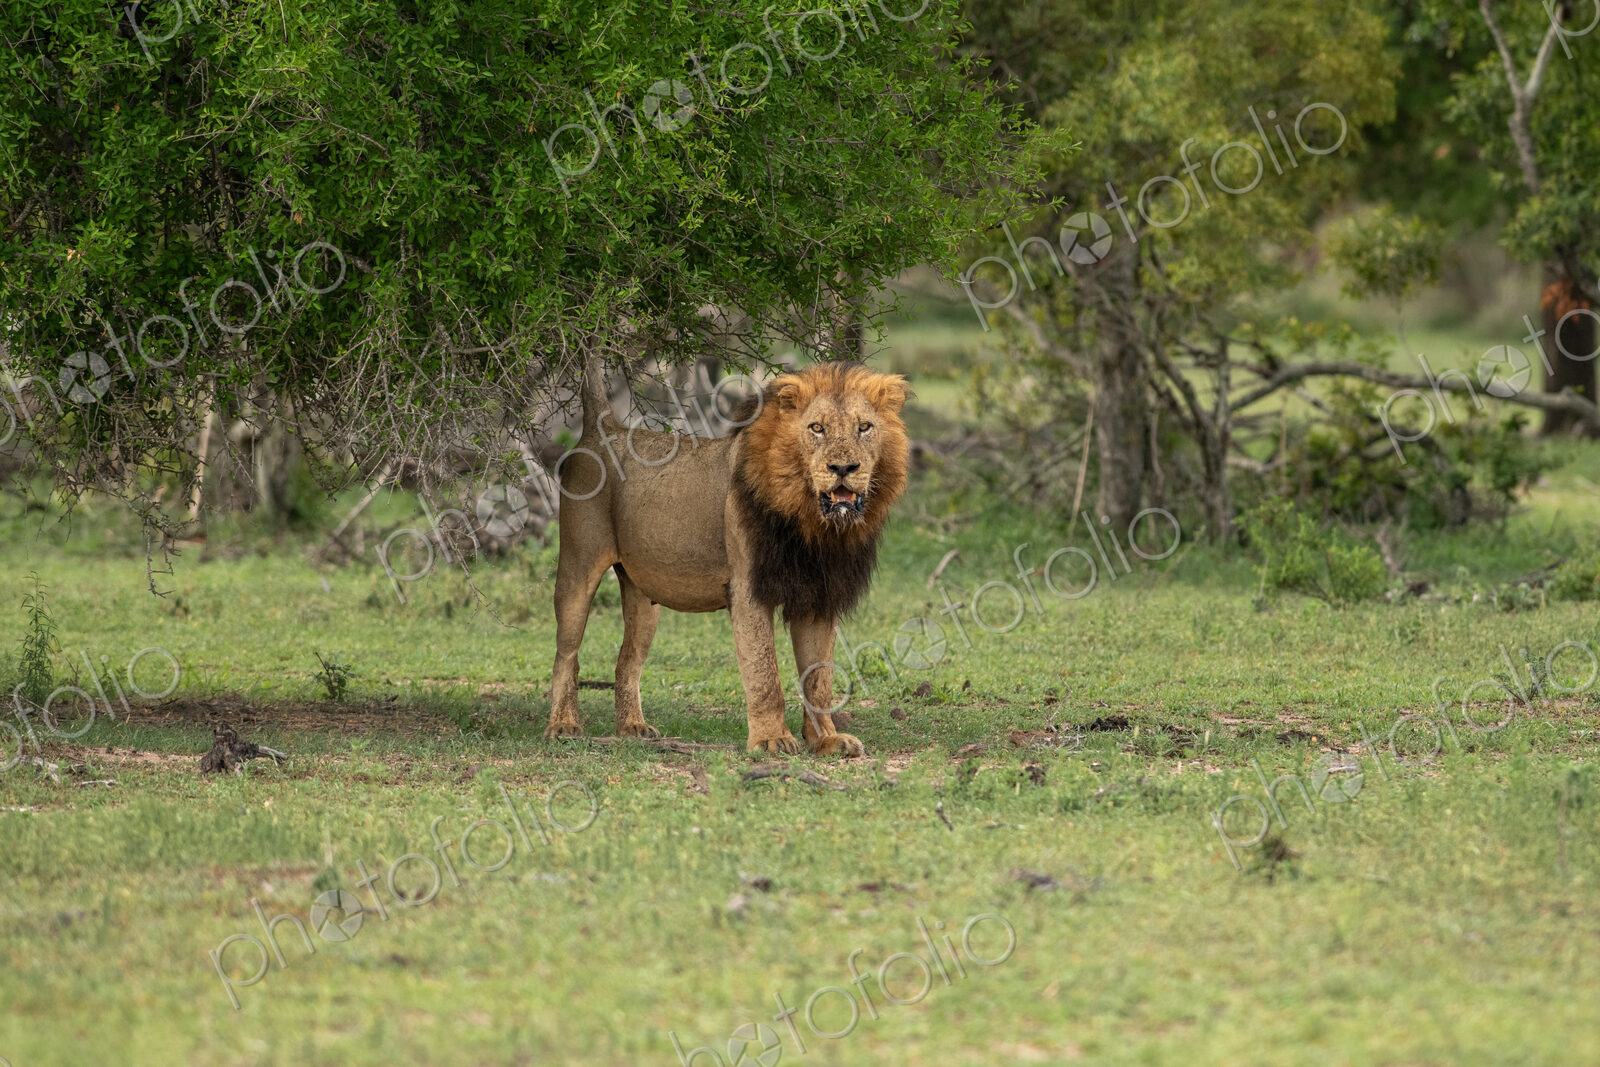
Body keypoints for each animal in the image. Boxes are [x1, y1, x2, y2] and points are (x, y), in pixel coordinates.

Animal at [544, 357, 910, 755]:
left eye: (864, 427)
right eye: (817, 428)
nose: (843, 469)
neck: (813, 524)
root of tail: (604, 428)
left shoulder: (818, 596)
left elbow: (819, 678)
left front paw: (825, 739)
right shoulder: (748, 590)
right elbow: (764, 673)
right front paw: (771, 740)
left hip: (642, 594)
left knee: (627, 660)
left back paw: (632, 727)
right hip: (578, 566)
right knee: (566, 655)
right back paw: (563, 726)